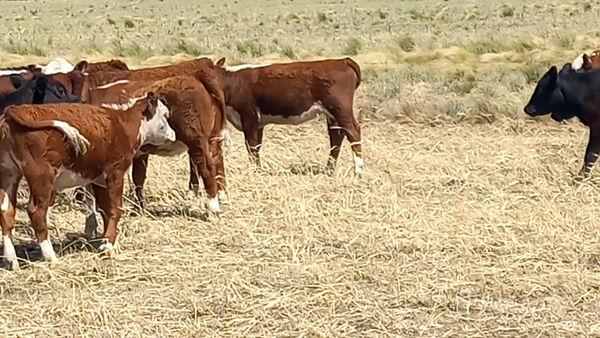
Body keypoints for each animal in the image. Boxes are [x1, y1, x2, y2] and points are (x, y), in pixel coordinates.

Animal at [0, 92, 177, 270]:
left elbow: (106, 210)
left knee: (6, 211)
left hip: (9, 173)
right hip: (42, 176)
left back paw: (11, 260)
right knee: (36, 211)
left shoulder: (98, 179)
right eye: (165, 115)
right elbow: (116, 209)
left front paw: (109, 242)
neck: (121, 123)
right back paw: (50, 256)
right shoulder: (115, 171)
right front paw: (108, 245)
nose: (174, 135)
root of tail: (13, 110)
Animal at [211, 56, 364, 173]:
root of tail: (342, 61)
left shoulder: (249, 116)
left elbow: (252, 146)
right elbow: (256, 146)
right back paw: (329, 169)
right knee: (336, 137)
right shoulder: (258, 123)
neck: (233, 82)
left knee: (353, 131)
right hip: (332, 114)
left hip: (340, 108)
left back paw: (358, 171)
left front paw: (255, 171)